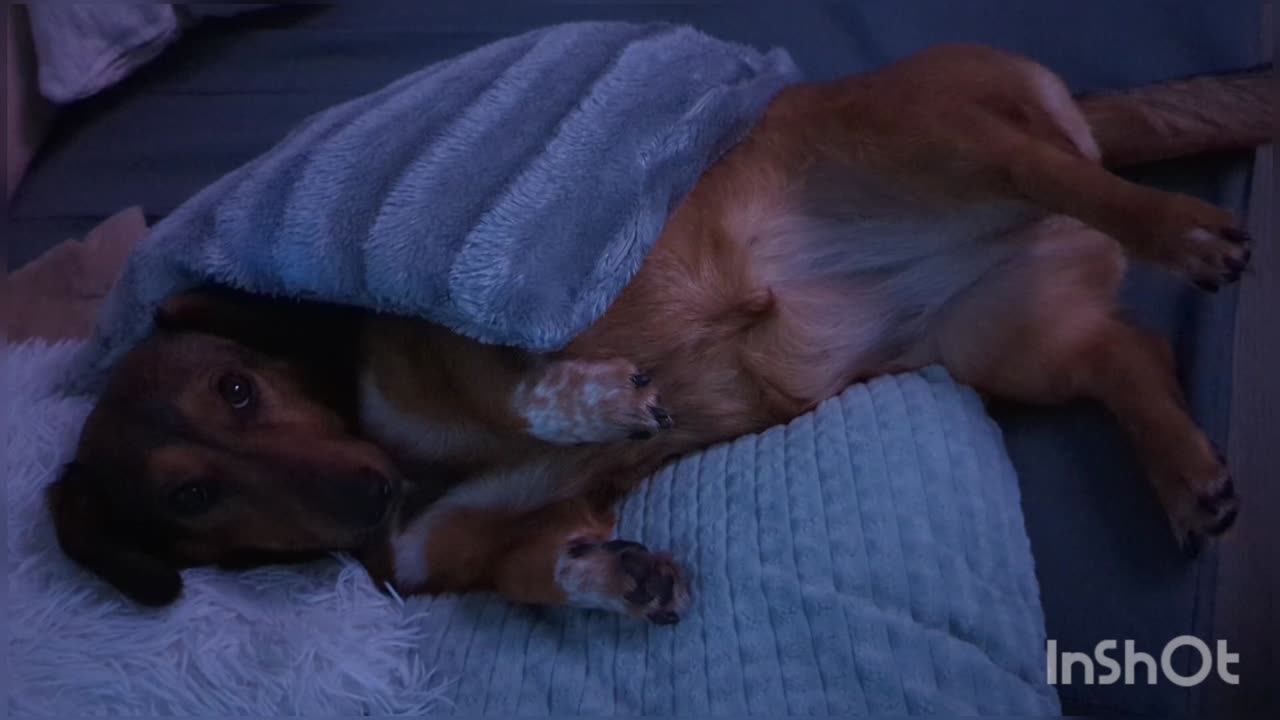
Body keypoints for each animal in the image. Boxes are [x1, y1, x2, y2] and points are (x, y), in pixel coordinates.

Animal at [47, 44, 1269, 620]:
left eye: (237, 391)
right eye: (191, 497)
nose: (364, 495)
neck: (395, 450)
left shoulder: (477, 323)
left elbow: (519, 379)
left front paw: (596, 398)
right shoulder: (478, 538)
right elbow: (535, 569)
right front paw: (610, 580)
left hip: (937, 144)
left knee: (1062, 174)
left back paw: (1183, 230)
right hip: (1003, 338)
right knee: (1126, 355)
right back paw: (1181, 473)